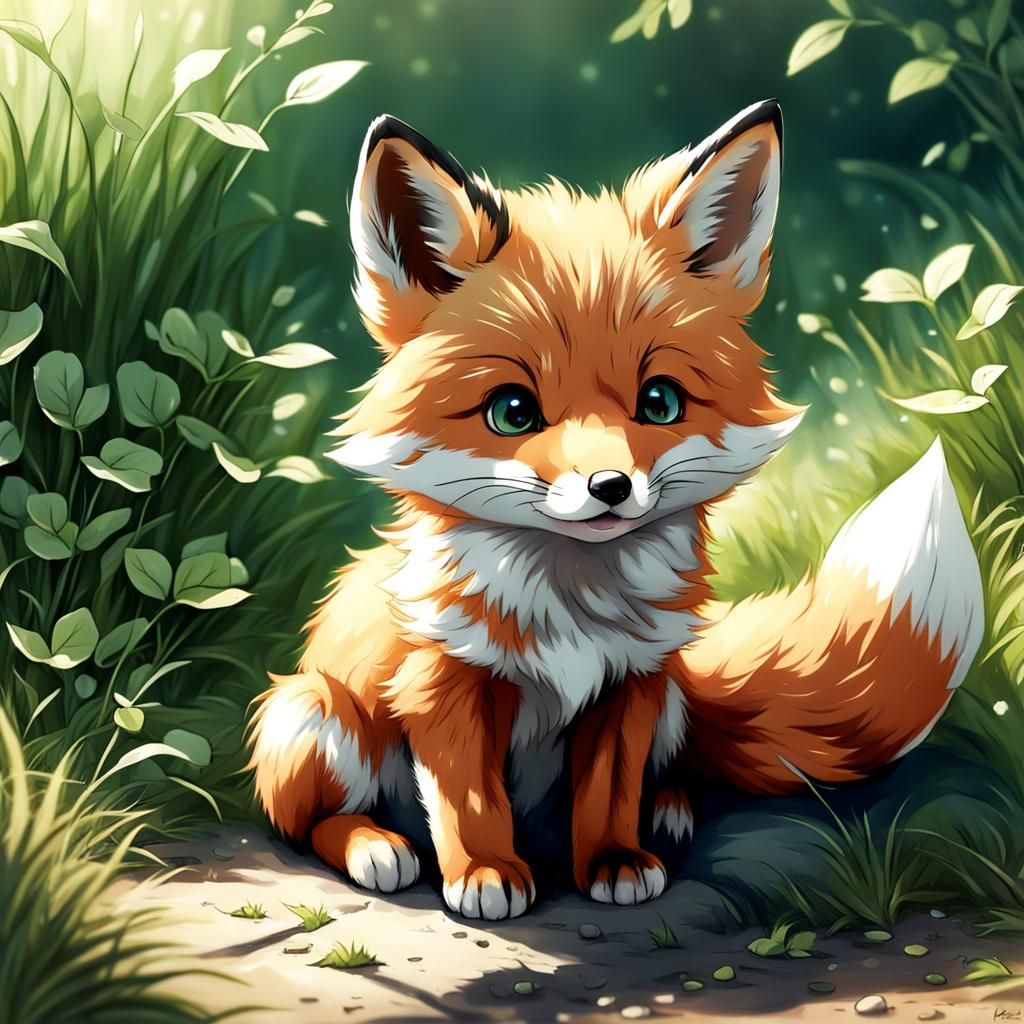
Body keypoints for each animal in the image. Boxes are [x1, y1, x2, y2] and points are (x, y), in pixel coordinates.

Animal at [248, 100, 985, 920]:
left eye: (659, 402)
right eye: (511, 412)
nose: (611, 487)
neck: (571, 606)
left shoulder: (634, 682)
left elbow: (609, 791)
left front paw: (613, 860)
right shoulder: (444, 681)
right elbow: (469, 799)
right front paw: (485, 871)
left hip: (673, 700)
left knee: (661, 778)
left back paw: (665, 813)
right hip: (315, 717)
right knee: (307, 820)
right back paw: (375, 846)